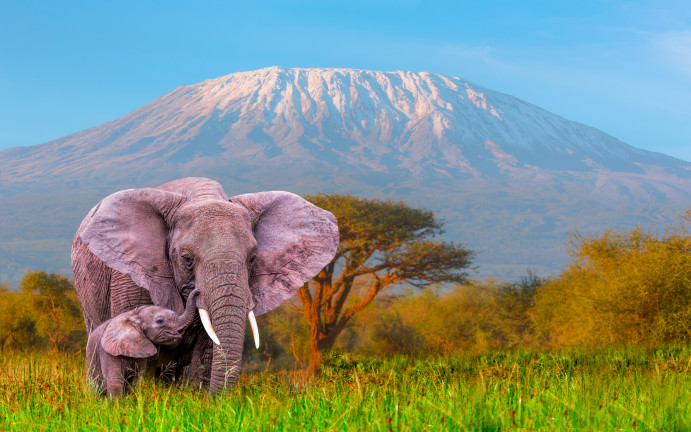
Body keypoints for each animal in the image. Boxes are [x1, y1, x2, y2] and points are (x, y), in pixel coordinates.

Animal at [72, 177, 339, 394]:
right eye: (186, 259)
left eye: (253, 258)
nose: (196, 291)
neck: (202, 195)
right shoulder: (130, 275)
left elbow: (209, 346)